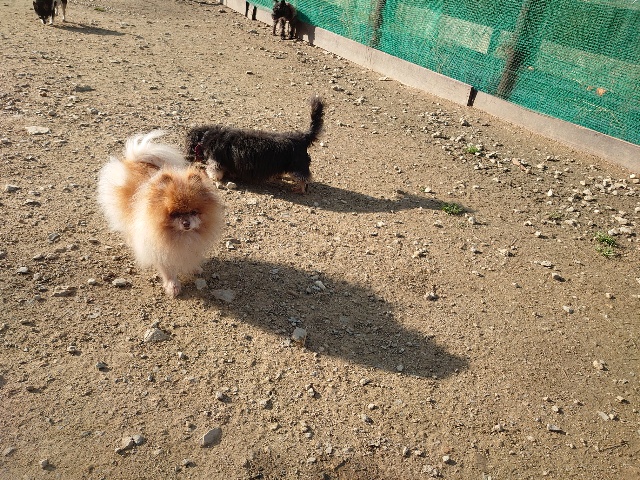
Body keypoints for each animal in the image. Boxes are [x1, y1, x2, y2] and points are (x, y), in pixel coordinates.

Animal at [97, 131, 225, 298]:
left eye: (193, 212)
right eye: (174, 213)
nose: (186, 223)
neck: (181, 236)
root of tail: (135, 160)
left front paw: (194, 268)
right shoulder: (158, 247)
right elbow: (168, 270)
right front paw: (172, 286)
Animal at [185, 96, 324, 193]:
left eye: (187, 145)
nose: (186, 159)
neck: (205, 136)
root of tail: (303, 137)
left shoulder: (216, 162)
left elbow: (213, 172)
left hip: (298, 166)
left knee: (304, 179)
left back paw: (299, 189)